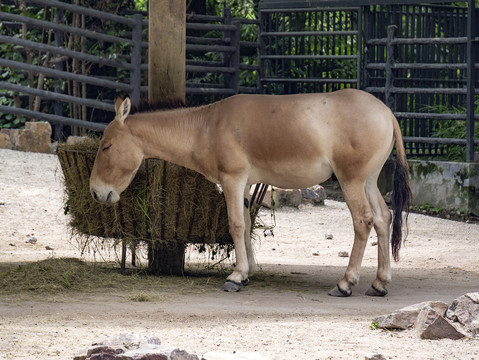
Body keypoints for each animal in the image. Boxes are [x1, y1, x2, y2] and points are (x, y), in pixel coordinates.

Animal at [91, 88, 412, 296]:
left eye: (106, 146)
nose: (95, 192)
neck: (205, 128)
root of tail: (386, 112)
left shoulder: (232, 179)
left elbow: (234, 224)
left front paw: (234, 277)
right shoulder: (244, 183)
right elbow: (245, 224)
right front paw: (247, 273)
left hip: (350, 180)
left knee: (363, 221)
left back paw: (345, 283)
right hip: (369, 180)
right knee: (383, 219)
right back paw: (380, 284)